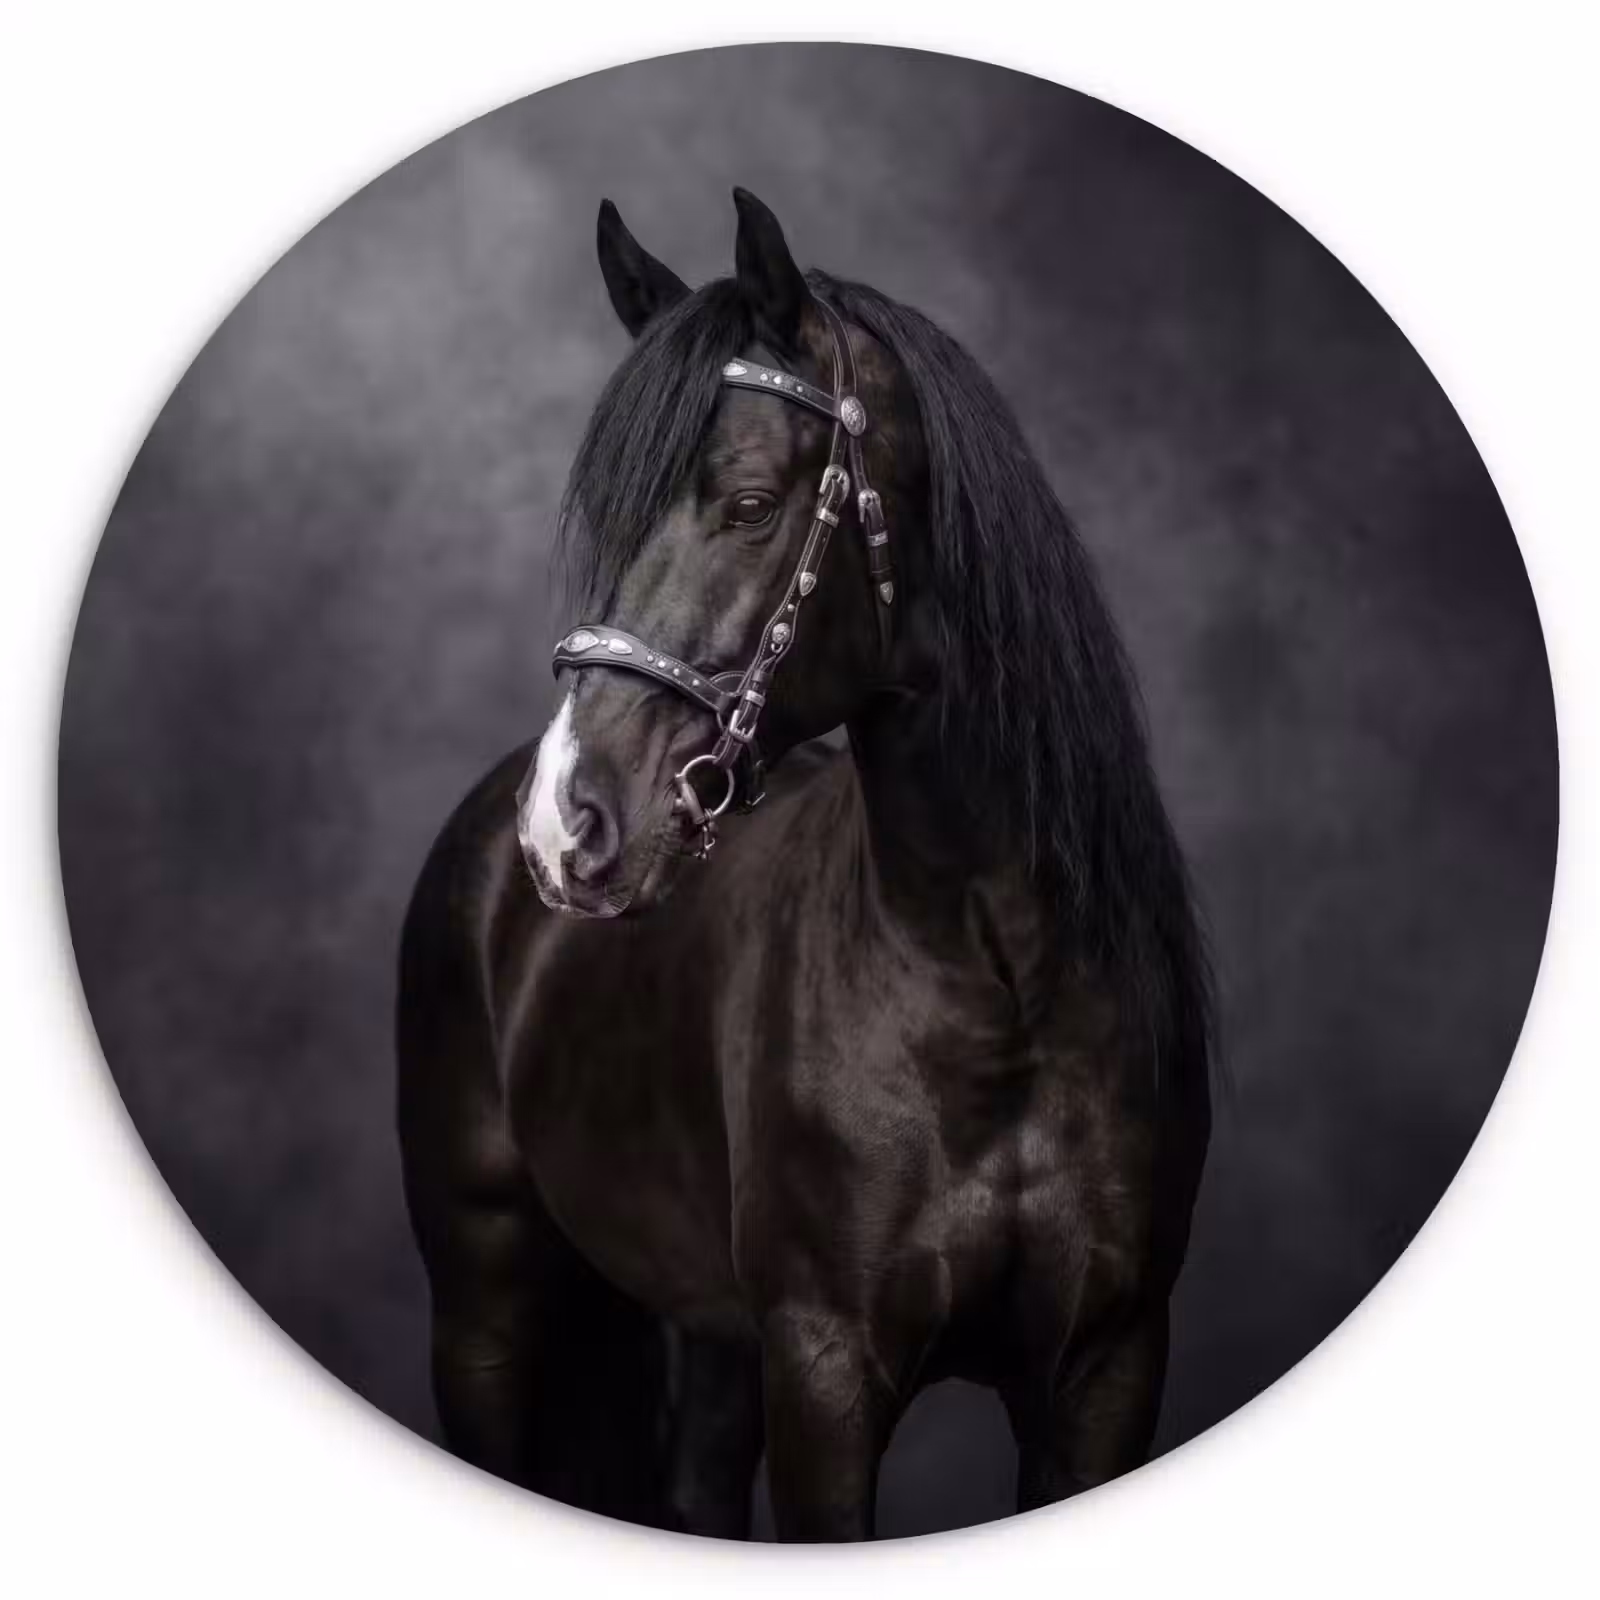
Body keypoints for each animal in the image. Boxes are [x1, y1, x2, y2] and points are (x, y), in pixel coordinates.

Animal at [396, 188, 1212, 1541]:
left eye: (745, 504)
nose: (566, 820)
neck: (998, 982)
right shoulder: (826, 1367)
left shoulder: (1105, 1364)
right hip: (484, 1309)